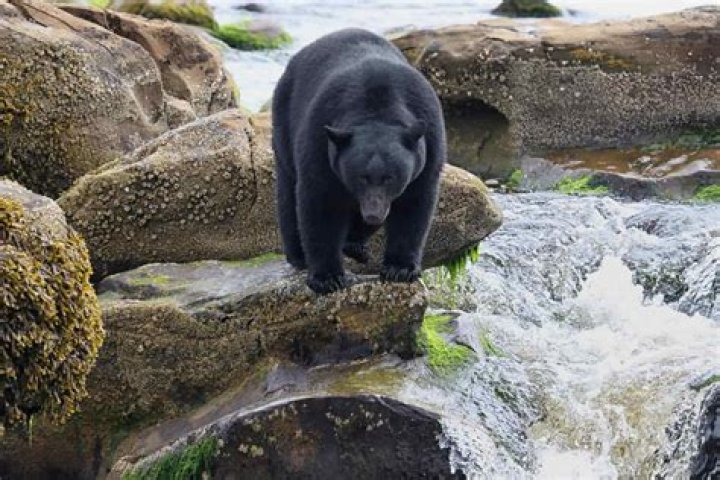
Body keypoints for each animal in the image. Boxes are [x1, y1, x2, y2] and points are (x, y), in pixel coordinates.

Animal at [272, 28, 445, 294]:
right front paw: (327, 277)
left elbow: (415, 205)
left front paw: (401, 268)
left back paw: (355, 244)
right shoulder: (319, 139)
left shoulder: (429, 147)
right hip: (284, 122)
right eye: (360, 177)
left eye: (390, 177)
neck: (377, 108)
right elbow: (319, 203)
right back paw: (299, 254)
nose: (373, 214)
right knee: (288, 191)